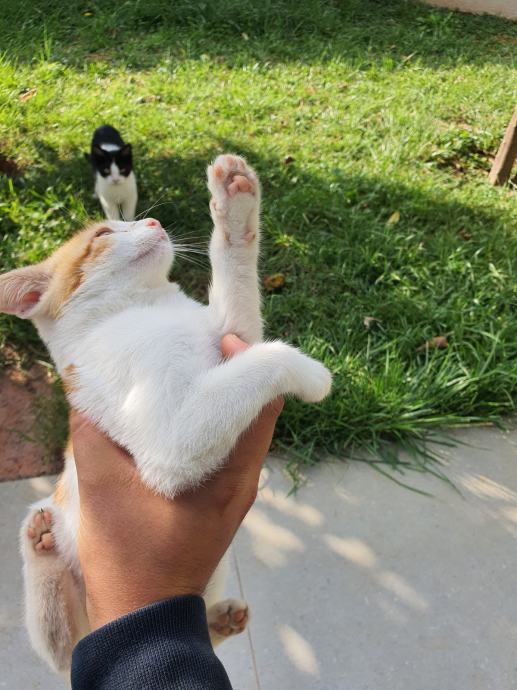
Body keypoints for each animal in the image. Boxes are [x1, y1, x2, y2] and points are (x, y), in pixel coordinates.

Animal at [0, 154, 332, 676]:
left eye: (136, 220)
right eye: (103, 233)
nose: (153, 222)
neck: (143, 308)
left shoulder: (231, 335)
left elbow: (239, 302)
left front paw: (235, 208)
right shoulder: (169, 443)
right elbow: (265, 359)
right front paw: (309, 372)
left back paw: (220, 618)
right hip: (67, 603)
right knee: (69, 648)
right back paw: (42, 549)